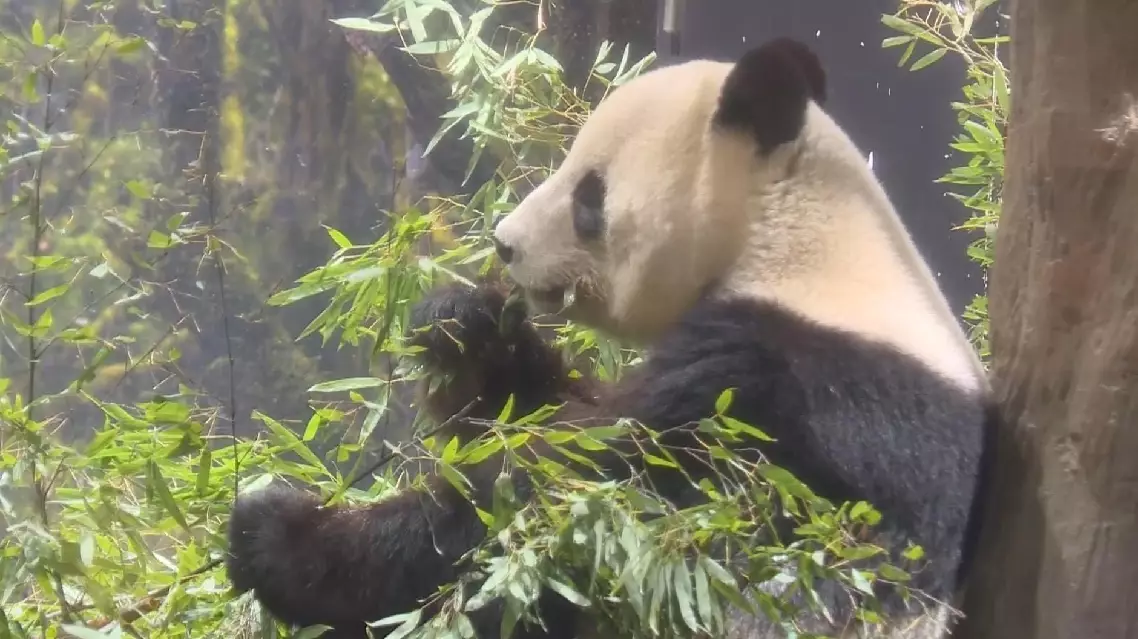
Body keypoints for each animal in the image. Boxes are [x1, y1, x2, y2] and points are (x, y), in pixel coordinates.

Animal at [226, 37, 994, 639]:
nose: (505, 244)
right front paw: (464, 327)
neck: (794, 238)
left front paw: (279, 537)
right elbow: (537, 418)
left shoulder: (767, 384)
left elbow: (555, 503)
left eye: (588, 196)